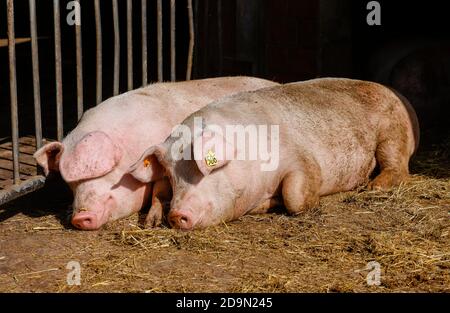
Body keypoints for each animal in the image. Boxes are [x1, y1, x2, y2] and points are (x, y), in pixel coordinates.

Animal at [127, 77, 418, 229]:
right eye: (173, 176)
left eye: (202, 169)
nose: (176, 215)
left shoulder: (303, 159)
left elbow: (295, 196)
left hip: (392, 132)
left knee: (398, 166)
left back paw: (372, 187)